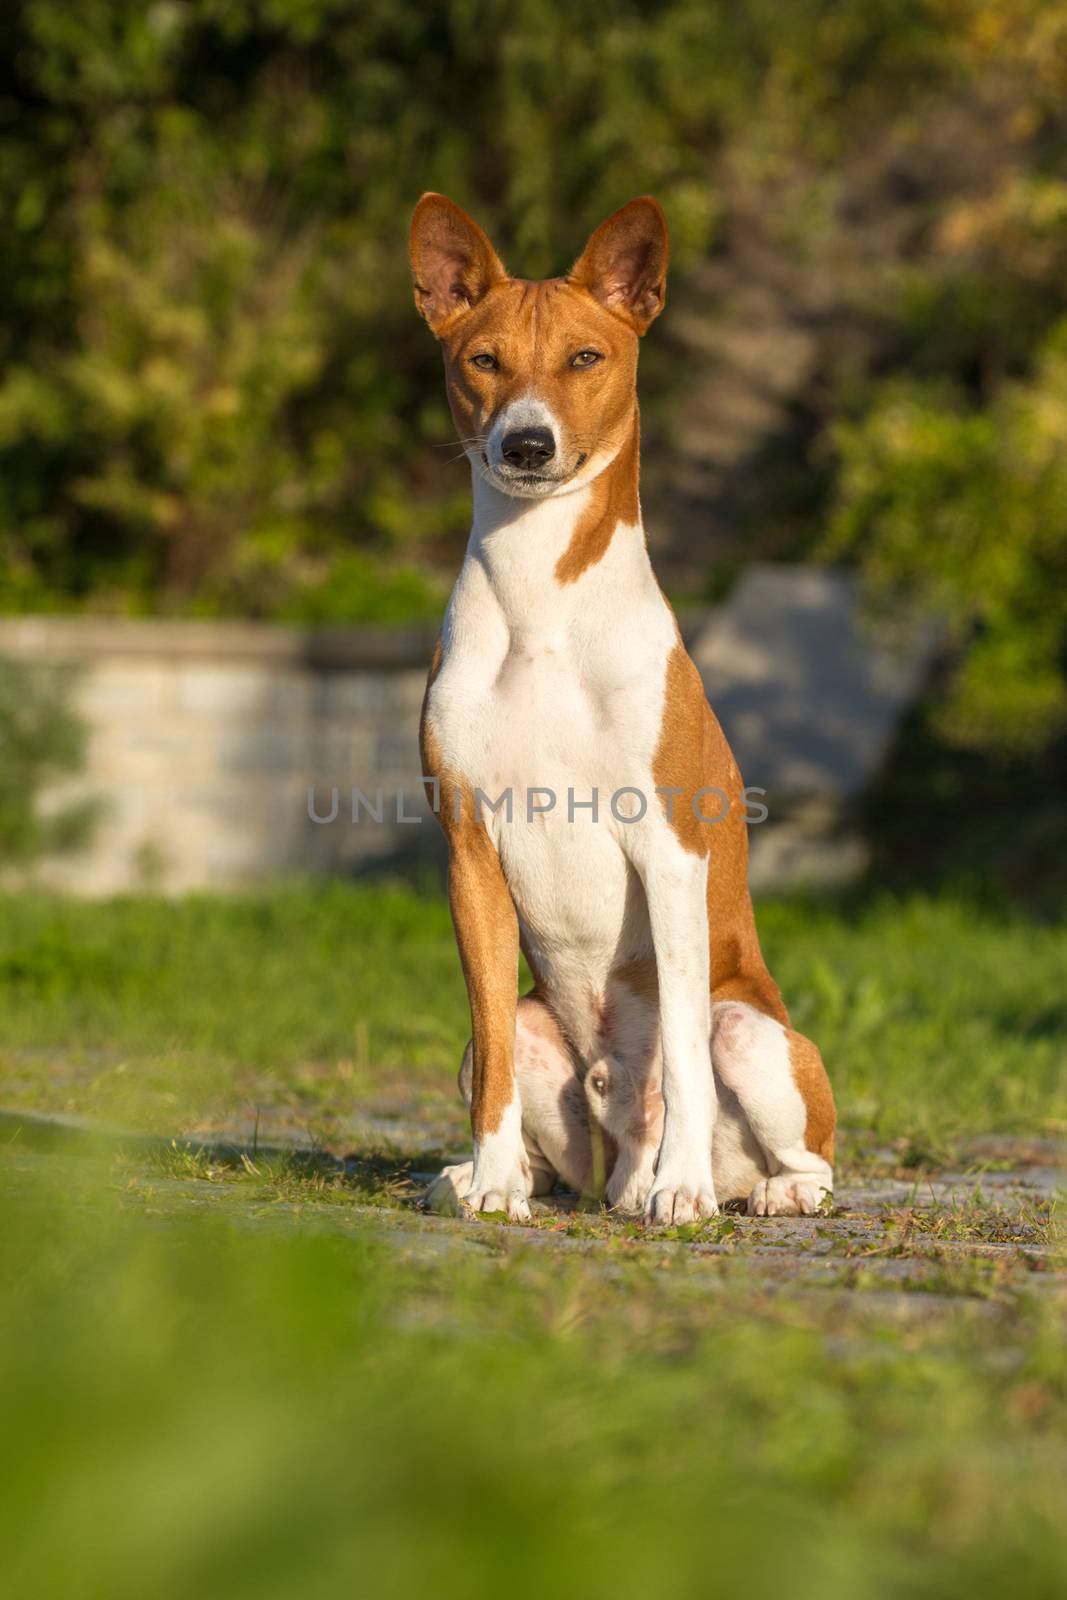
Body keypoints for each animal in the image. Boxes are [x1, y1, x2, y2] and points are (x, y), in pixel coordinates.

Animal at [409, 196, 831, 1222]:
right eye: (483, 360)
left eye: (584, 357)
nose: (526, 444)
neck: (539, 609)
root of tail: (612, 1173)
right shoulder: (470, 851)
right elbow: (490, 1062)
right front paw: (490, 1184)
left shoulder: (668, 849)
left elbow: (678, 1051)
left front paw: (682, 1194)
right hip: (534, 1038)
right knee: (526, 1094)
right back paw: (504, 1178)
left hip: (748, 1029)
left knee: (785, 1133)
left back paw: (735, 1190)